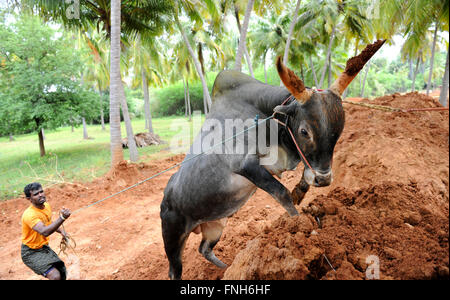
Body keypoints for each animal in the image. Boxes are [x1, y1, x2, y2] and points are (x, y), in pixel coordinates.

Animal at [160, 39, 384, 278]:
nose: (324, 180)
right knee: (174, 270)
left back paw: (227, 268)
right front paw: (300, 224)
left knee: (204, 249)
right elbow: (281, 193)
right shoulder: (246, 166)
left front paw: (300, 193)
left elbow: (304, 178)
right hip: (173, 237)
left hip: (215, 226)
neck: (267, 118)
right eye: (304, 131)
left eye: (339, 131)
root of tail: (166, 197)